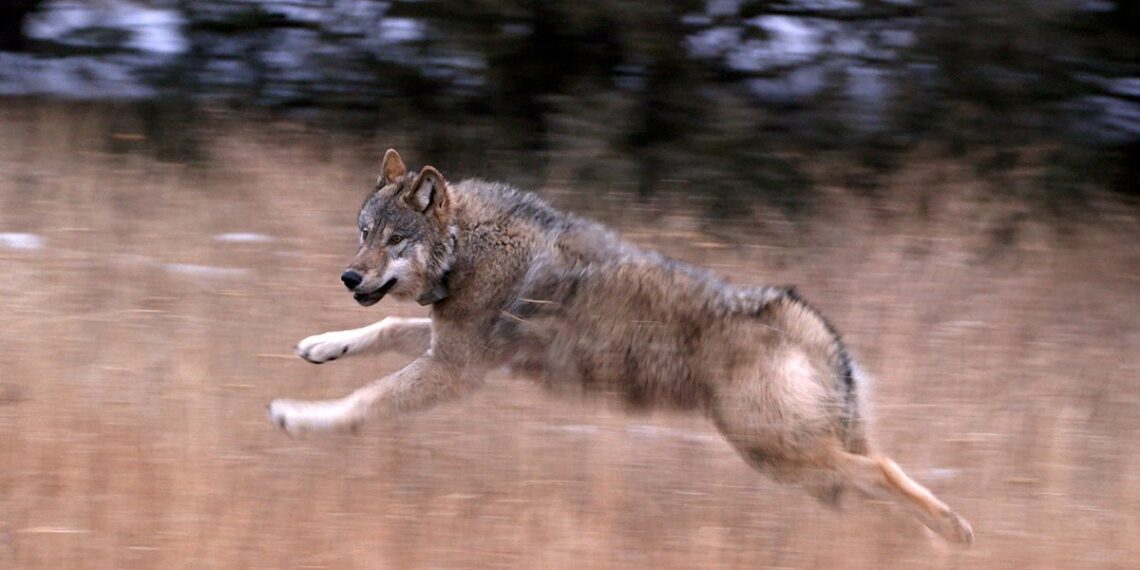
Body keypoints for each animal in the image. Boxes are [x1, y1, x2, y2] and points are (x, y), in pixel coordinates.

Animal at [267, 149, 974, 545]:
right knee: (872, 477)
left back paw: (954, 532)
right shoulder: (449, 345)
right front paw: (321, 346)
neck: (468, 245)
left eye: (394, 240)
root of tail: (796, 313)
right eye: (363, 233)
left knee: (883, 471)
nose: (348, 277)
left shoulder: (455, 369)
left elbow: (364, 402)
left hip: (777, 454)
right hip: (798, 462)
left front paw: (298, 418)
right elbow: (382, 331)